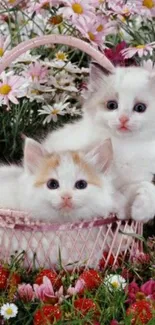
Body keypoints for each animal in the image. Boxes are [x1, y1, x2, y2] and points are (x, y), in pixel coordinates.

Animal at [42, 64, 155, 221]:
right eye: (112, 105)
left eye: (140, 108)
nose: (123, 119)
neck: (124, 146)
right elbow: (111, 194)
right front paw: (119, 209)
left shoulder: (134, 179)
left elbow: (147, 187)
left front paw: (141, 211)